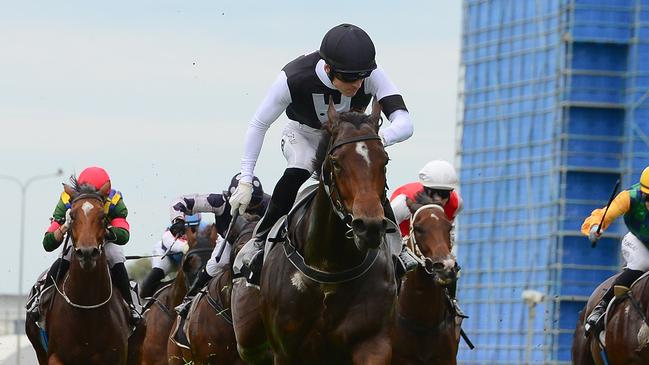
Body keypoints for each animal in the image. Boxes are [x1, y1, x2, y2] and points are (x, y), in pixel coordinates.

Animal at [233, 100, 394, 364]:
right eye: (336, 162)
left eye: (385, 161)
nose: (369, 226)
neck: (330, 266)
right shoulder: (286, 350)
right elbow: (260, 123)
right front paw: (243, 191)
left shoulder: (373, 342)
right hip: (249, 340)